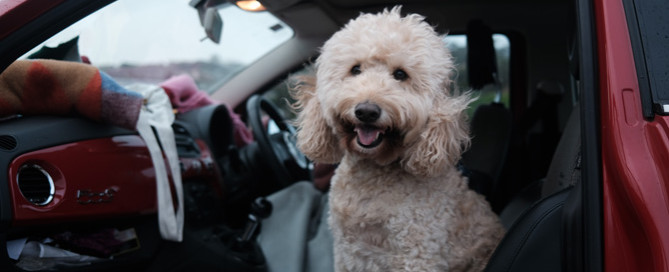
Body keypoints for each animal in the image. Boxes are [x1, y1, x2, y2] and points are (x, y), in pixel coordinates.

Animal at [290, 6, 504, 272]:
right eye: (355, 69)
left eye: (400, 74)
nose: (367, 111)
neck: (372, 173)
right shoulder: (346, 251)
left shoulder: (417, 252)